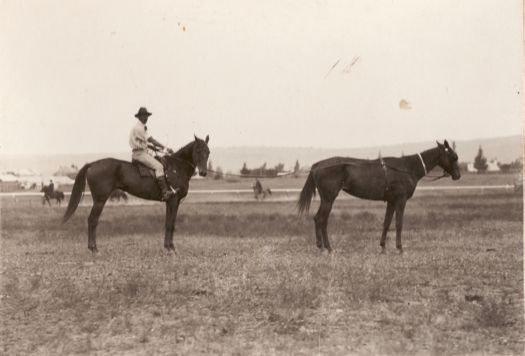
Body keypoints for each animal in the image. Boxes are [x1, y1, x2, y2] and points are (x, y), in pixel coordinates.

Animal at [296, 139, 460, 253]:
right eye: (453, 156)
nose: (457, 176)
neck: (407, 168)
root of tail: (317, 165)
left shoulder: (391, 201)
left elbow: (387, 223)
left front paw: (383, 247)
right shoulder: (400, 201)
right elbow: (398, 224)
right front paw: (400, 248)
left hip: (327, 199)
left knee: (319, 219)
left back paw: (322, 247)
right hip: (329, 198)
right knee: (321, 220)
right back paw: (327, 248)